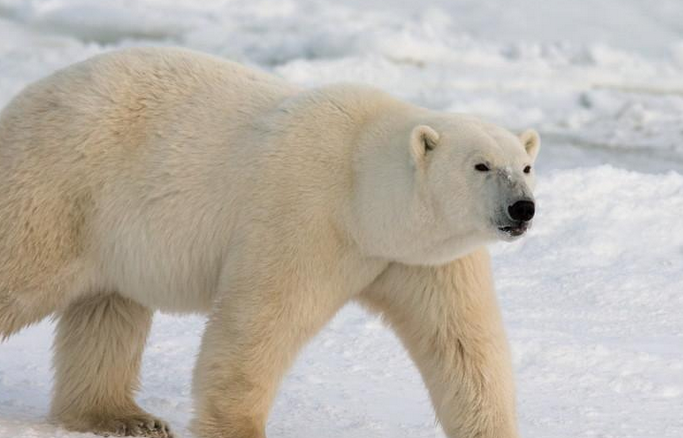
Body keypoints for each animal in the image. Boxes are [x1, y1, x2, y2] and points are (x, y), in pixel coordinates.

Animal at [0, 47, 540, 438]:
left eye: (526, 165)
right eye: (481, 165)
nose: (522, 209)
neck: (361, 187)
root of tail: (25, 98)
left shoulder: (422, 259)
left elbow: (462, 344)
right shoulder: (304, 216)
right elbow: (259, 323)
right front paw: (238, 428)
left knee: (108, 310)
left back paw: (123, 417)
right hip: (59, 187)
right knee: (22, 271)